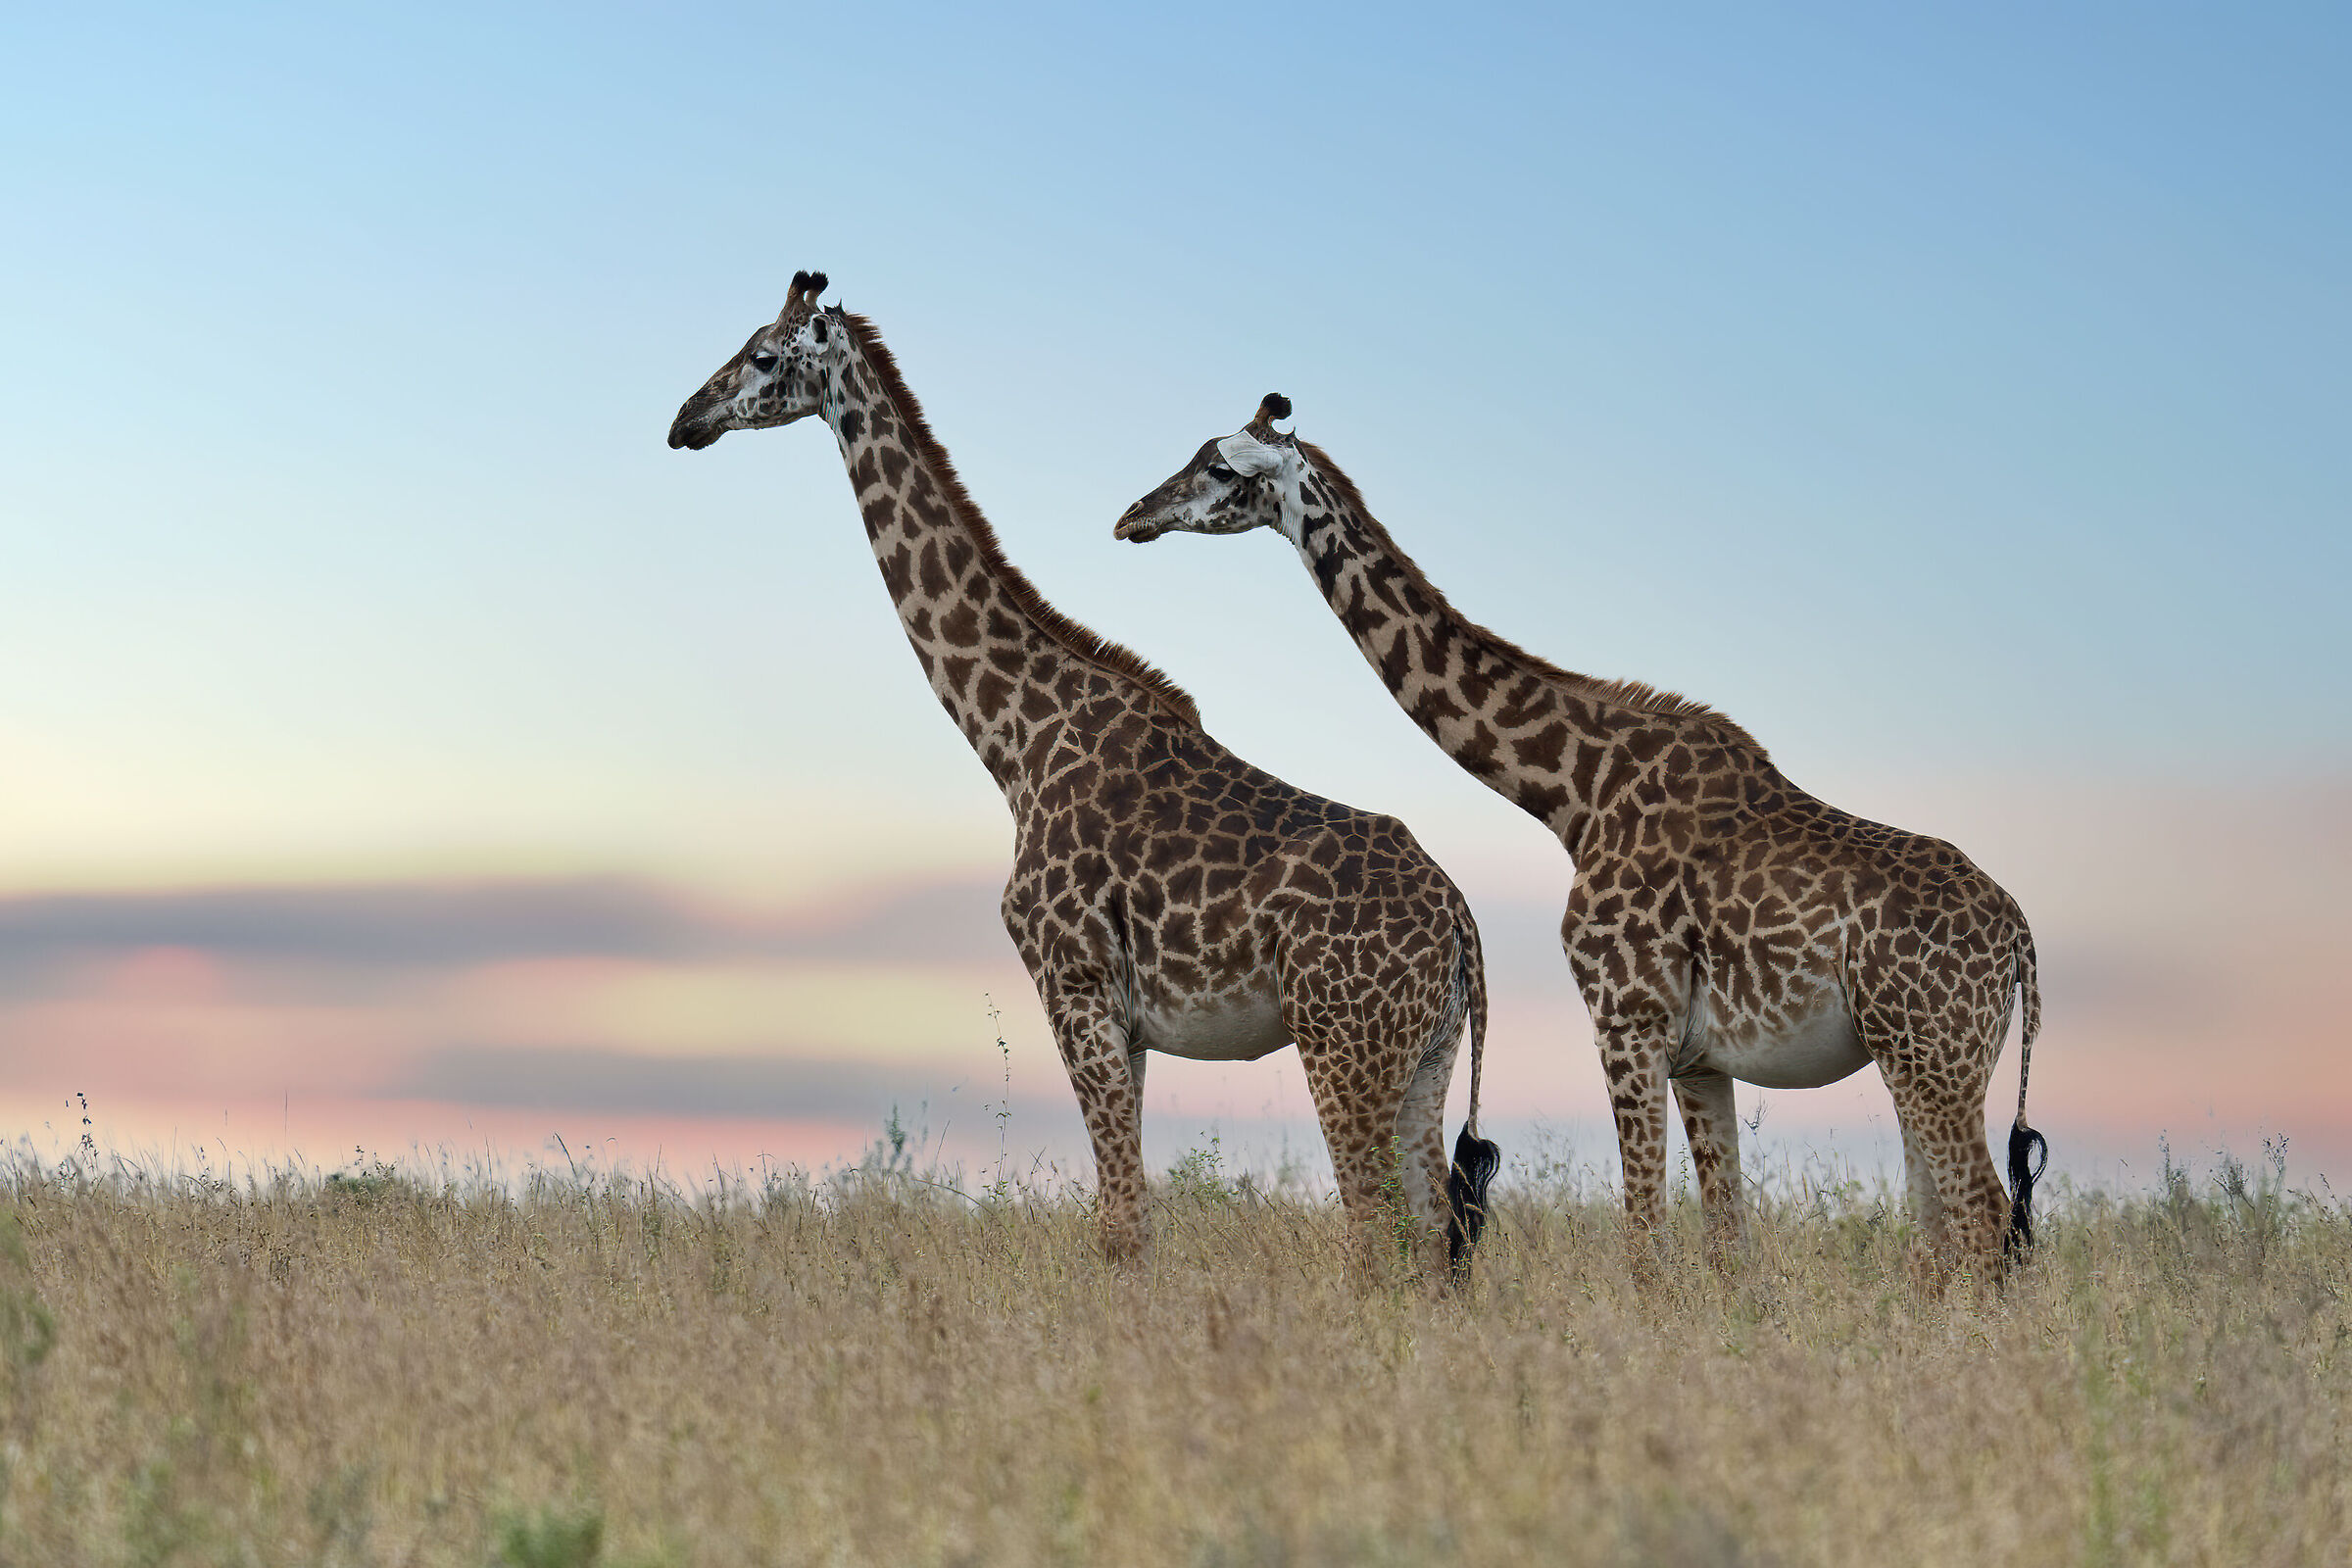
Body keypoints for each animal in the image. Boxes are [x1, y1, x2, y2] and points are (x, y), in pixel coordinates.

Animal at [667, 281, 1500, 1274]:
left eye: (763, 355)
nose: (684, 420)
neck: (1015, 742)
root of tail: (1461, 926)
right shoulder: (1124, 1020)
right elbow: (1127, 1215)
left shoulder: (1071, 983)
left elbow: (1121, 1227)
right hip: (1424, 1059)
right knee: (1429, 1241)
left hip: (1346, 1047)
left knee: (1376, 1238)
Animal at [1115, 395, 2047, 1278]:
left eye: (1217, 467)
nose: (1131, 516)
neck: (1575, 796)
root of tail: (2020, 939)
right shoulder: (1698, 1056)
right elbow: (1728, 1244)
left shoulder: (1626, 1017)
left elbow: (1646, 1240)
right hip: (1920, 1059)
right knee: (1944, 1229)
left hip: (1933, 1054)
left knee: (1982, 1215)